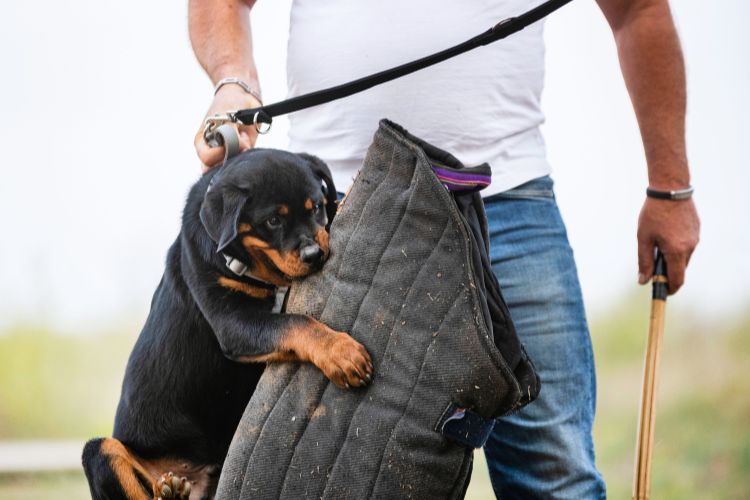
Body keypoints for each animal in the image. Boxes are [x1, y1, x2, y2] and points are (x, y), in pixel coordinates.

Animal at [82, 149, 374, 500]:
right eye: (273, 221)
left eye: (315, 206)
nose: (314, 254)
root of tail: (194, 479)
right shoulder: (233, 323)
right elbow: (296, 323)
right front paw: (342, 354)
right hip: (100, 451)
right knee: (118, 466)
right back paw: (167, 491)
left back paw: (174, 490)